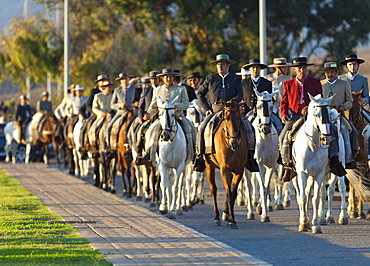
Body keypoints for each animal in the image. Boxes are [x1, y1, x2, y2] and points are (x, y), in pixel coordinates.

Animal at [205, 98, 249, 228]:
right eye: (226, 118)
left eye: (239, 117)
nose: (234, 143)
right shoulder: (225, 170)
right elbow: (228, 193)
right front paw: (231, 219)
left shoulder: (239, 171)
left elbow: (232, 194)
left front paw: (231, 218)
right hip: (209, 166)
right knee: (213, 189)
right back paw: (216, 217)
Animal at [292, 94, 336, 233]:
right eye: (316, 114)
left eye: (329, 112)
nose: (327, 138)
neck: (312, 146)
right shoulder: (301, 173)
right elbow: (302, 198)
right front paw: (303, 223)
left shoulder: (319, 174)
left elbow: (315, 199)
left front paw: (316, 225)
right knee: (300, 195)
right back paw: (304, 220)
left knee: (309, 192)